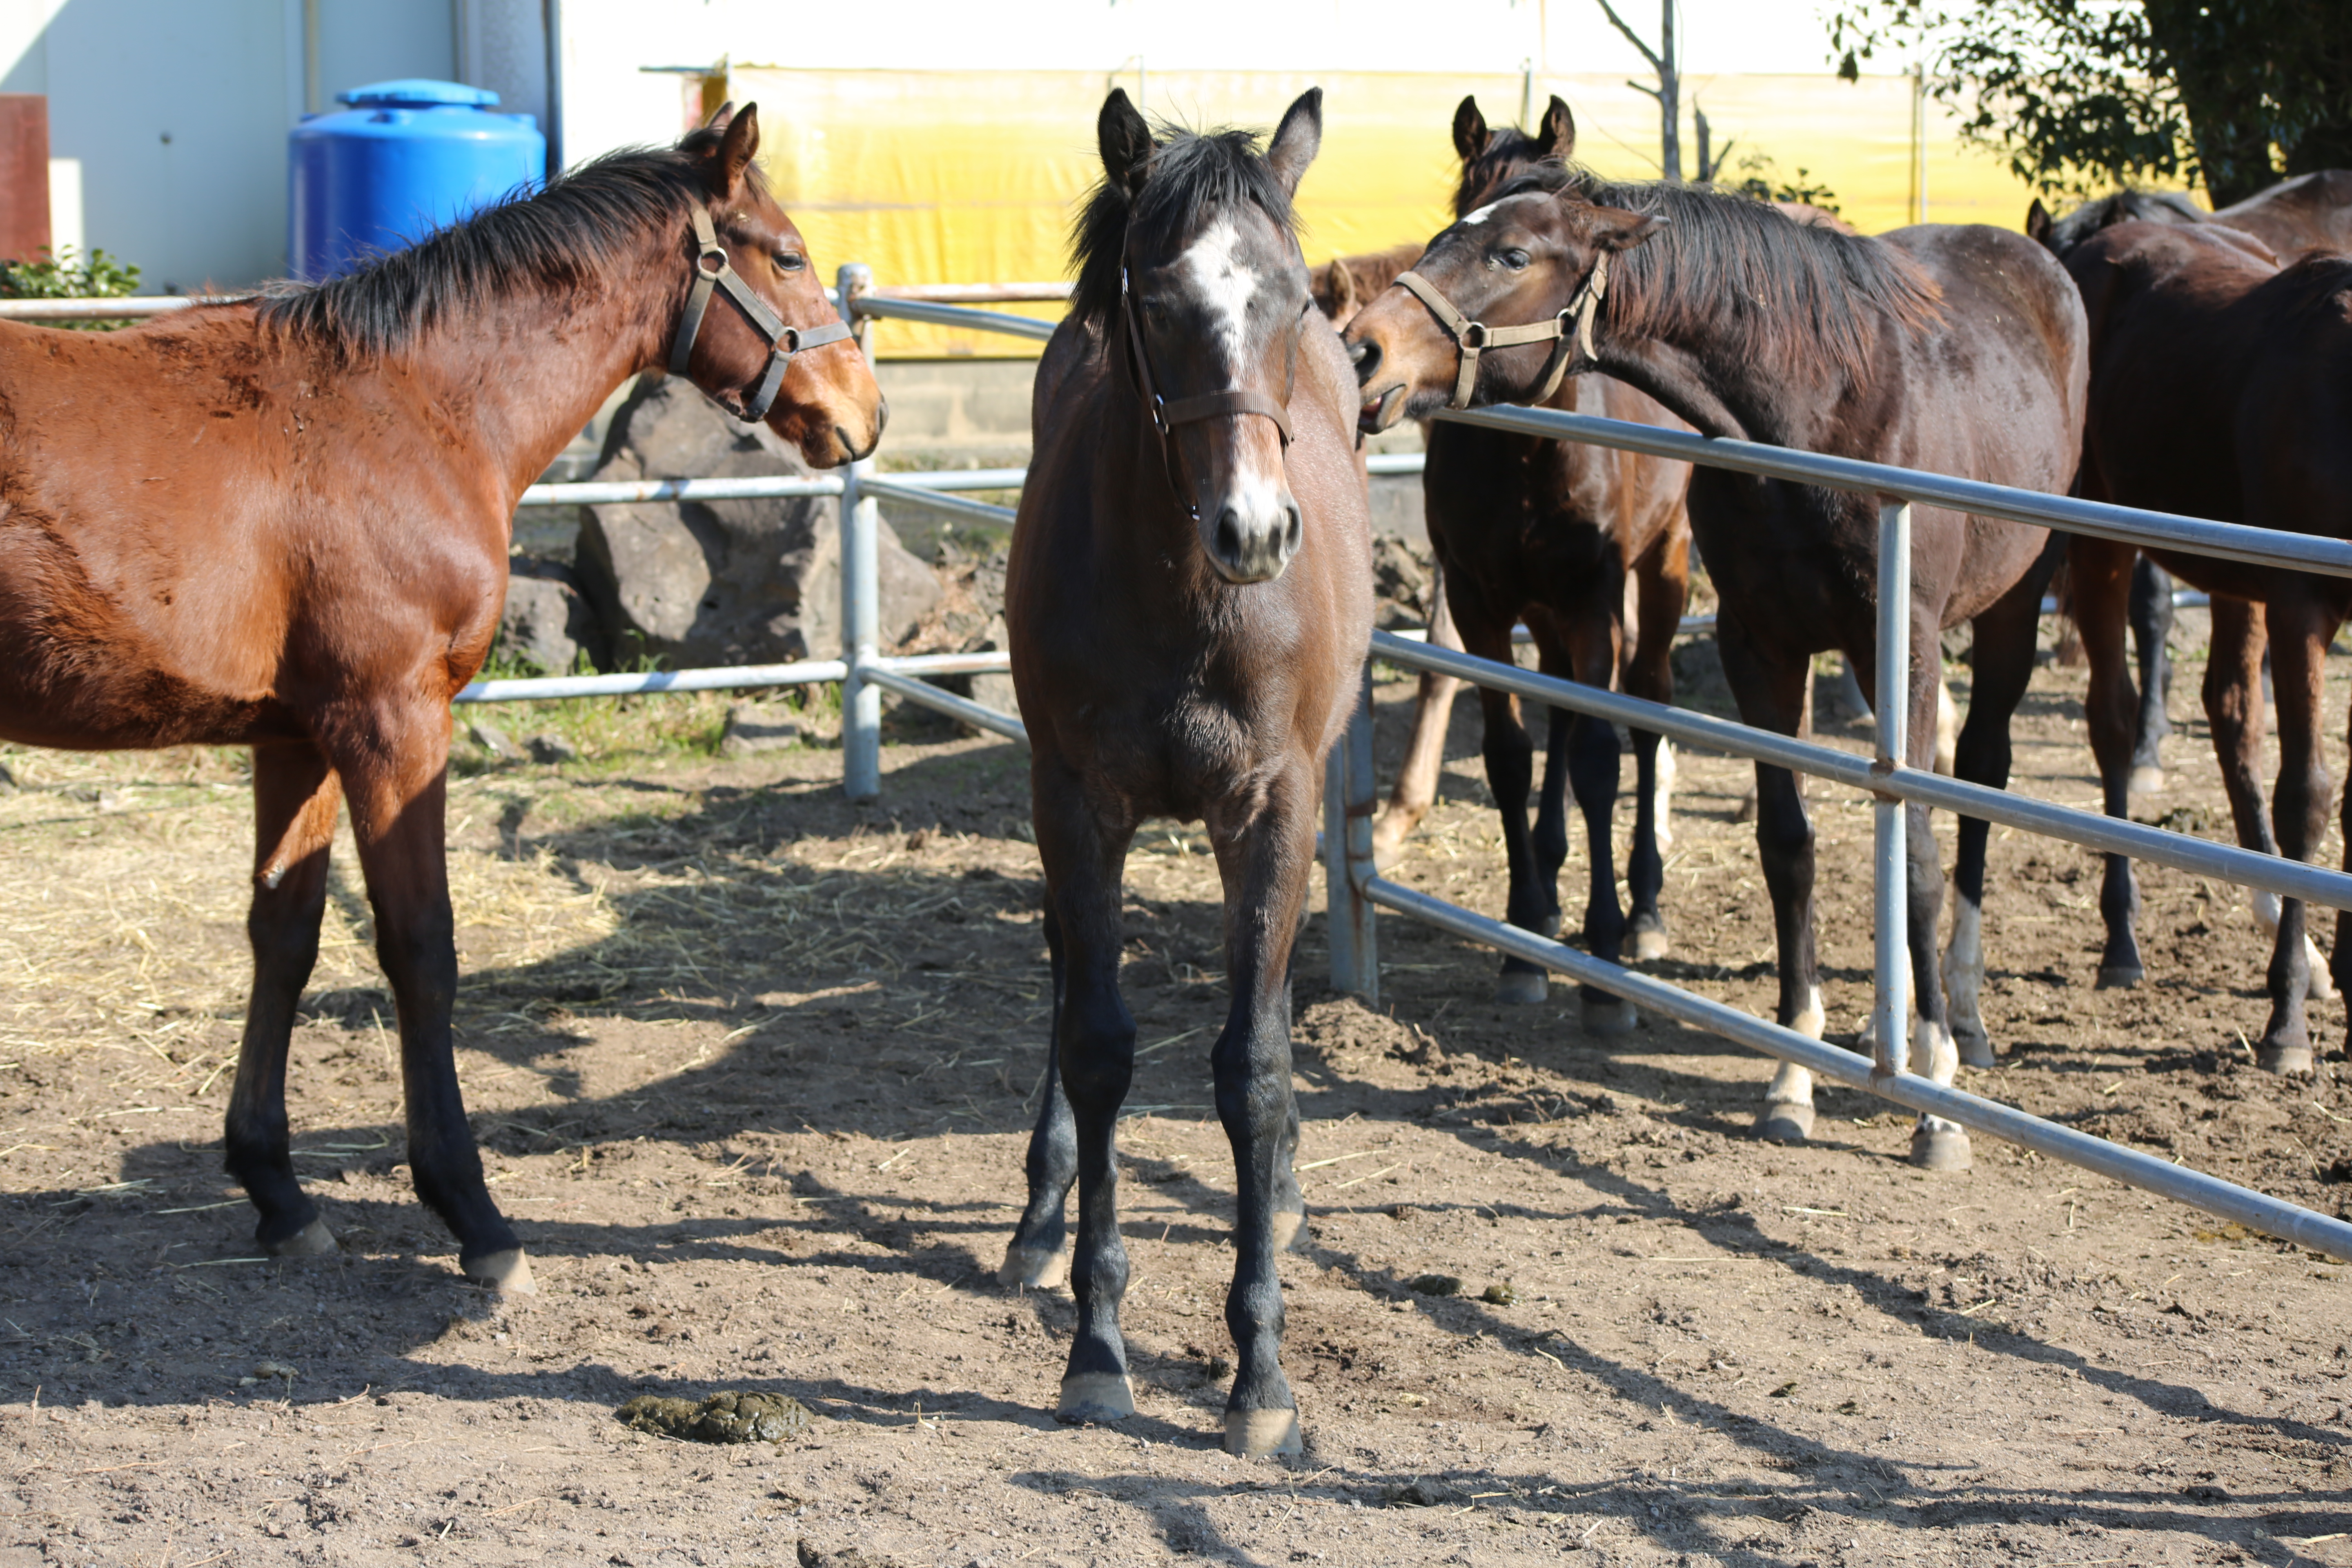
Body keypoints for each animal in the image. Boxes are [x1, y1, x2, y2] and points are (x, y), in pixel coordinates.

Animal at [0, 104, 884, 1297]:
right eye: (786, 257)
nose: (866, 413)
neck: (408, 406)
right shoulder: (392, 721)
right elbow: (422, 949)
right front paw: (474, 1214)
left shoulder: (297, 735)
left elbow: (284, 934)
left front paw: (278, 1193)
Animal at [997, 86, 1373, 1457]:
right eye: (1156, 304)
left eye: (1293, 302)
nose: (1255, 530)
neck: (1187, 598)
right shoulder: (1078, 801)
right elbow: (1101, 1043)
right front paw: (1097, 1349)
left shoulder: (1271, 806)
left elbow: (1249, 1066)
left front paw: (1260, 1377)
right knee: (1062, 964)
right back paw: (1037, 1217)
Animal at [1354, 135, 2088, 1166]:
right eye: (1442, 231)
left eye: (1509, 254)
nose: (1361, 348)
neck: (1824, 413)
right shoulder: (1759, 649)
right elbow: (1787, 847)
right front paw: (1793, 1072)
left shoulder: (1897, 647)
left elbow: (1917, 852)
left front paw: (1936, 1098)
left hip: (2011, 609)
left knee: (1977, 776)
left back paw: (1963, 1012)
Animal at [2051, 221, 2352, 1072]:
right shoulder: (2301, 602)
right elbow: (2307, 795)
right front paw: (2287, 1022)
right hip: (2102, 538)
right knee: (2114, 719)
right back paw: (2121, 941)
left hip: (2230, 572)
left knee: (2230, 712)